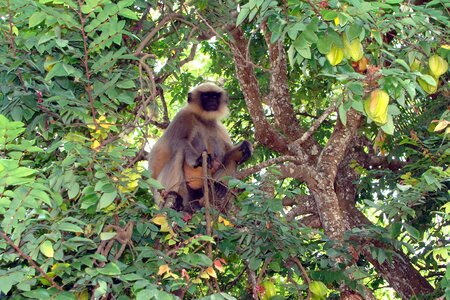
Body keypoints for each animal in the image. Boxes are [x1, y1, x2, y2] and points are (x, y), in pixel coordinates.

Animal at [149, 82, 251, 211]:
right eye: (206, 96)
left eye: (214, 96)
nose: (211, 100)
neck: (203, 120)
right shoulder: (183, 116)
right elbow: (178, 141)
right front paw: (198, 160)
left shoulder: (219, 128)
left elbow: (226, 155)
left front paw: (245, 147)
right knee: (179, 151)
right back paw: (172, 196)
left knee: (232, 160)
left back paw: (219, 188)